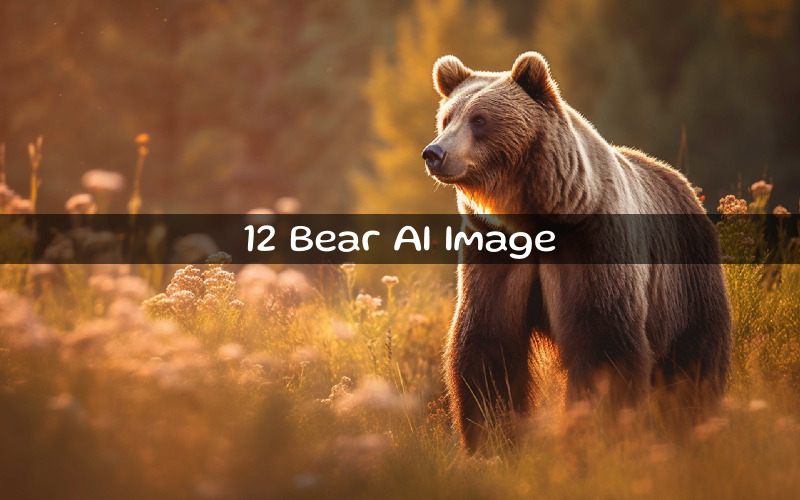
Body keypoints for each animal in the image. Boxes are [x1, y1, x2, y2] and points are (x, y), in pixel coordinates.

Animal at [421, 52, 731, 453]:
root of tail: (685, 185)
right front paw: (494, 439)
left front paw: (596, 433)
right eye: (447, 118)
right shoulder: (496, 252)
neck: (535, 218)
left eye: (479, 119)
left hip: (686, 281)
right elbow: (488, 343)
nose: (434, 152)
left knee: (694, 361)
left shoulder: (590, 240)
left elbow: (602, 341)